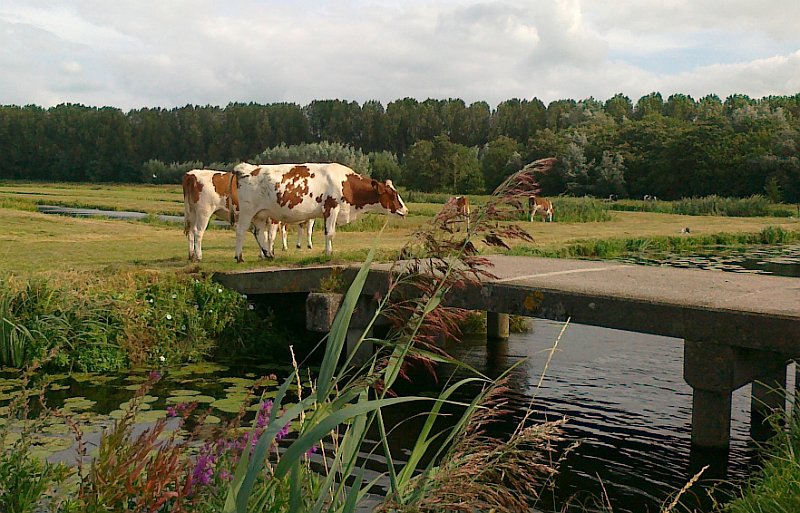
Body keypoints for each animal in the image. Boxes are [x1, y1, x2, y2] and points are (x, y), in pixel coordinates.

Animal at [183, 170, 314, 262]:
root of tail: (191, 174)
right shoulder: (273, 219)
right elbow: (271, 236)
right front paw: (270, 253)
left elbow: (264, 236)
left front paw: (263, 254)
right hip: (204, 212)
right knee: (198, 232)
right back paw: (199, 256)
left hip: (192, 212)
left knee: (190, 231)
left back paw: (191, 255)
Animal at [230, 162, 406, 260]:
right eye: (392, 194)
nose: (405, 210)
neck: (347, 183)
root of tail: (247, 168)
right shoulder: (331, 207)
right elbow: (329, 233)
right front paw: (328, 253)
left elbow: (329, 233)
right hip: (247, 211)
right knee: (240, 231)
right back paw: (239, 257)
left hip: (261, 214)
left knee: (259, 233)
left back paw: (268, 255)